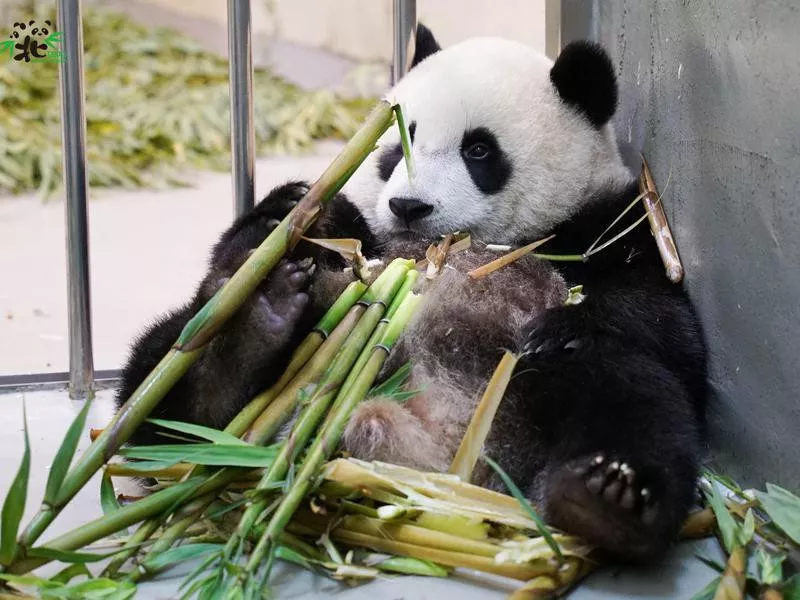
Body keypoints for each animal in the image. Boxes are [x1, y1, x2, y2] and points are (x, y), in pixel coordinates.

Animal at [117, 25, 708, 564]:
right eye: (398, 145)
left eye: (479, 149)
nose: (408, 206)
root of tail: (434, 444)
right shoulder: (368, 240)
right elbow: (270, 243)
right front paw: (286, 208)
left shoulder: (611, 224)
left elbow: (666, 327)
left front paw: (558, 327)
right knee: (158, 385)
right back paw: (251, 336)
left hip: (539, 390)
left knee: (635, 399)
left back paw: (604, 499)